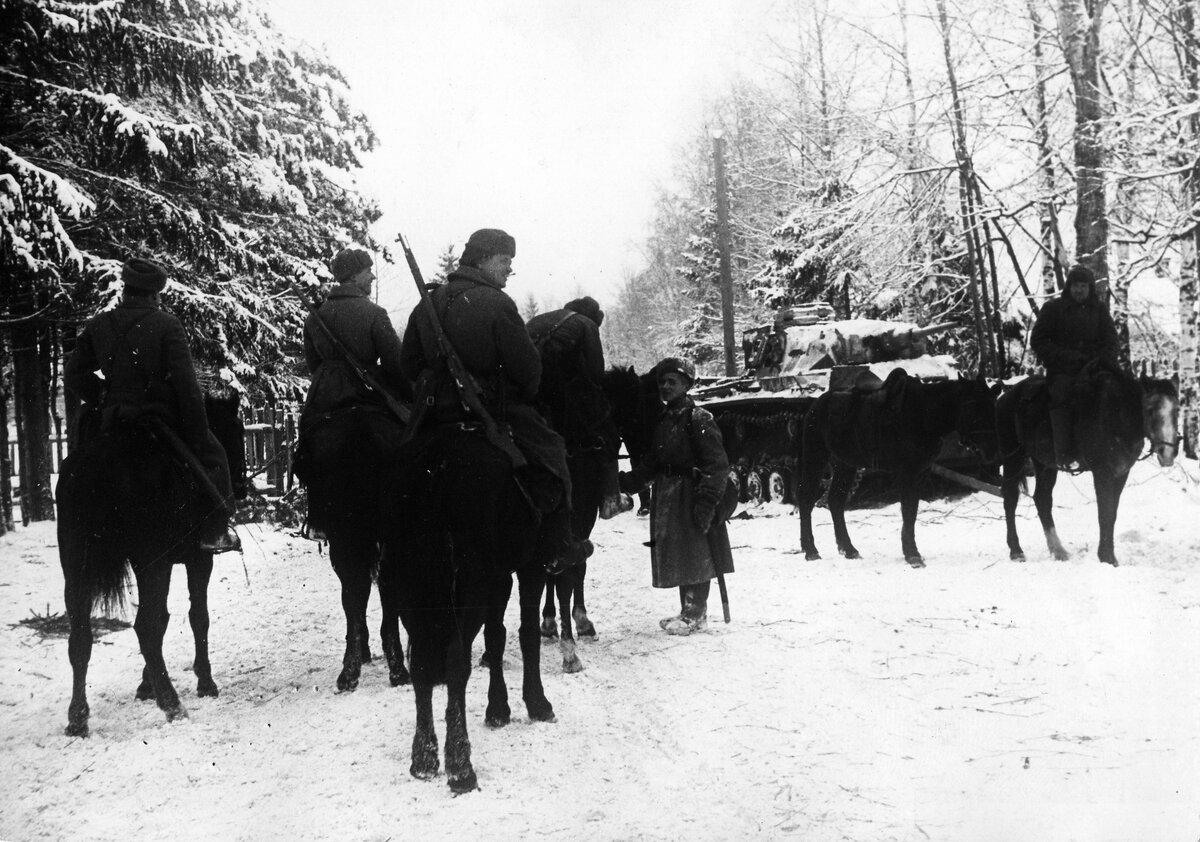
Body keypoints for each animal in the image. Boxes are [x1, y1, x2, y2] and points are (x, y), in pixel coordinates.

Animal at [57, 407, 242, 738]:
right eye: (236, 428)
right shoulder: (199, 560)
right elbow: (197, 617)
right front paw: (205, 682)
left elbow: (167, 618)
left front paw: (146, 686)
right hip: (151, 562)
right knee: (145, 626)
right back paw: (172, 705)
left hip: (76, 567)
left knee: (80, 637)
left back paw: (78, 719)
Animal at [379, 424, 556, 796]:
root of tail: (437, 467)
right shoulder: (529, 566)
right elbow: (525, 632)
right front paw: (534, 702)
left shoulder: (499, 578)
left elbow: (497, 635)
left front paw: (499, 707)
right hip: (470, 585)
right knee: (456, 662)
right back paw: (460, 766)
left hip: (410, 590)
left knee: (422, 665)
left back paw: (424, 758)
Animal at [796, 371, 1003, 570]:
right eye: (971, 408)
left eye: (993, 407)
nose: (992, 450)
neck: (924, 415)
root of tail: (816, 404)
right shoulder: (908, 472)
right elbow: (908, 510)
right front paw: (913, 555)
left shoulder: (922, 471)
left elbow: (912, 511)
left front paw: (911, 552)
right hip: (815, 458)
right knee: (806, 500)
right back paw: (811, 550)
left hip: (845, 465)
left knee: (835, 501)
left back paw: (848, 549)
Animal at [993, 362, 1180, 566]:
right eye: (1150, 409)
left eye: (1177, 410)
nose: (1167, 452)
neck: (1117, 415)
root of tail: (1006, 397)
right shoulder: (1102, 473)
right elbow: (1105, 514)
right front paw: (1107, 558)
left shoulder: (1121, 473)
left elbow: (1112, 513)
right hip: (1013, 458)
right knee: (1010, 499)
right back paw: (1016, 551)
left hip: (1044, 464)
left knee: (1042, 499)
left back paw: (1058, 551)